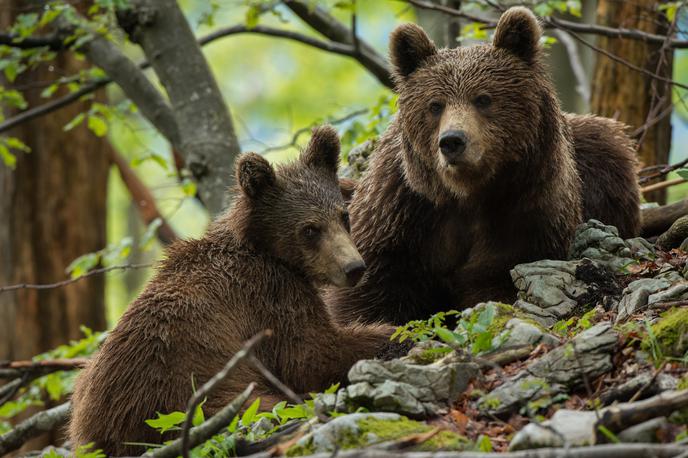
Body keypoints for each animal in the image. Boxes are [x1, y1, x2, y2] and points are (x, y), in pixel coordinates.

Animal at [68, 126, 398, 458]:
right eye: (310, 229)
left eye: (344, 216)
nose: (354, 268)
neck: (265, 249)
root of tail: (98, 435)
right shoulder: (270, 296)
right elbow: (312, 355)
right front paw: (390, 333)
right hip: (184, 396)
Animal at [328, 8, 640, 328]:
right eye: (435, 105)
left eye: (483, 98)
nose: (452, 141)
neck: (467, 194)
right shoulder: (400, 213)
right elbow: (372, 290)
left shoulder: (526, 211)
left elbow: (495, 274)